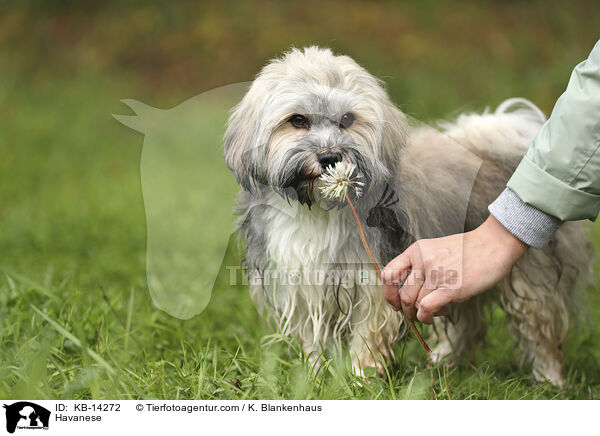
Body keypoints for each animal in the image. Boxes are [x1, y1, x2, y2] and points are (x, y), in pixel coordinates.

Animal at [225, 46, 592, 388]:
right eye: (298, 120)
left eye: (347, 119)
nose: (330, 157)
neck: (319, 209)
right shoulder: (302, 283)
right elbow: (314, 337)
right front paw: (314, 377)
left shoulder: (377, 280)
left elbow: (369, 335)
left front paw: (361, 378)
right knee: (470, 324)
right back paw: (444, 363)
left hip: (530, 275)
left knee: (539, 329)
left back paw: (548, 379)